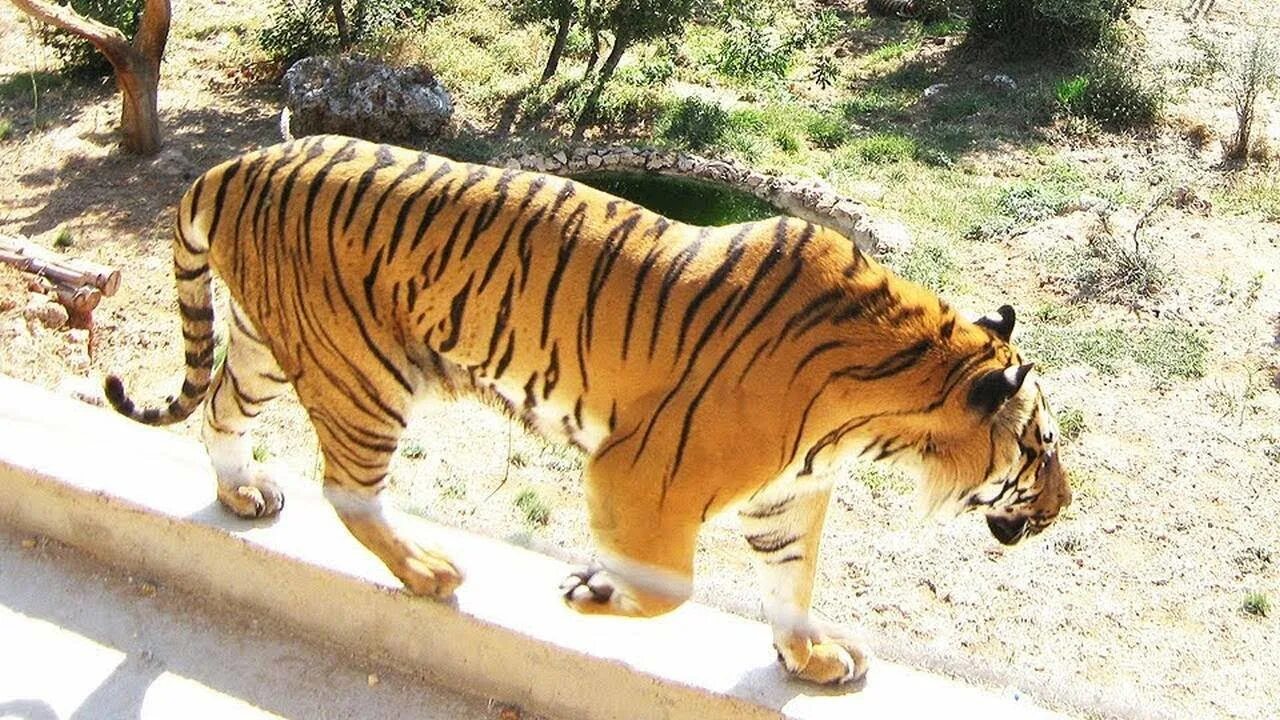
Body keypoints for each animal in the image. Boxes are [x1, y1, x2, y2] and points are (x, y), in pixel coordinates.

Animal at [107, 134, 1070, 681]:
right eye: (1044, 449)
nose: (1064, 507)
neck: (881, 418)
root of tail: (234, 163)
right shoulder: (642, 474)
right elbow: (671, 590)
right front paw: (588, 591)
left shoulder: (785, 497)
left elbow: (791, 582)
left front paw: (810, 659)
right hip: (363, 376)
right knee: (348, 490)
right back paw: (427, 570)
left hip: (269, 345)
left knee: (218, 412)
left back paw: (242, 494)